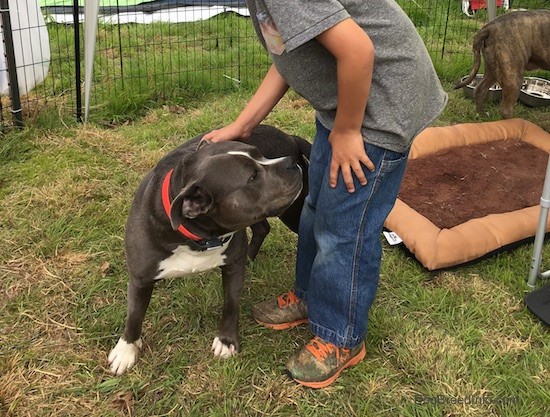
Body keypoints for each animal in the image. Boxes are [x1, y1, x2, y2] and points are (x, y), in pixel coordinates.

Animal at [108, 124, 310, 374]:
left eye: (261, 154)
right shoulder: (140, 278)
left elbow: (231, 304)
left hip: (293, 211)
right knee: (262, 227)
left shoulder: (233, 266)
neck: (198, 236)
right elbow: (134, 315)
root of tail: (290, 137)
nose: (290, 162)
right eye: (252, 176)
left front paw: (226, 341)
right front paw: (125, 350)